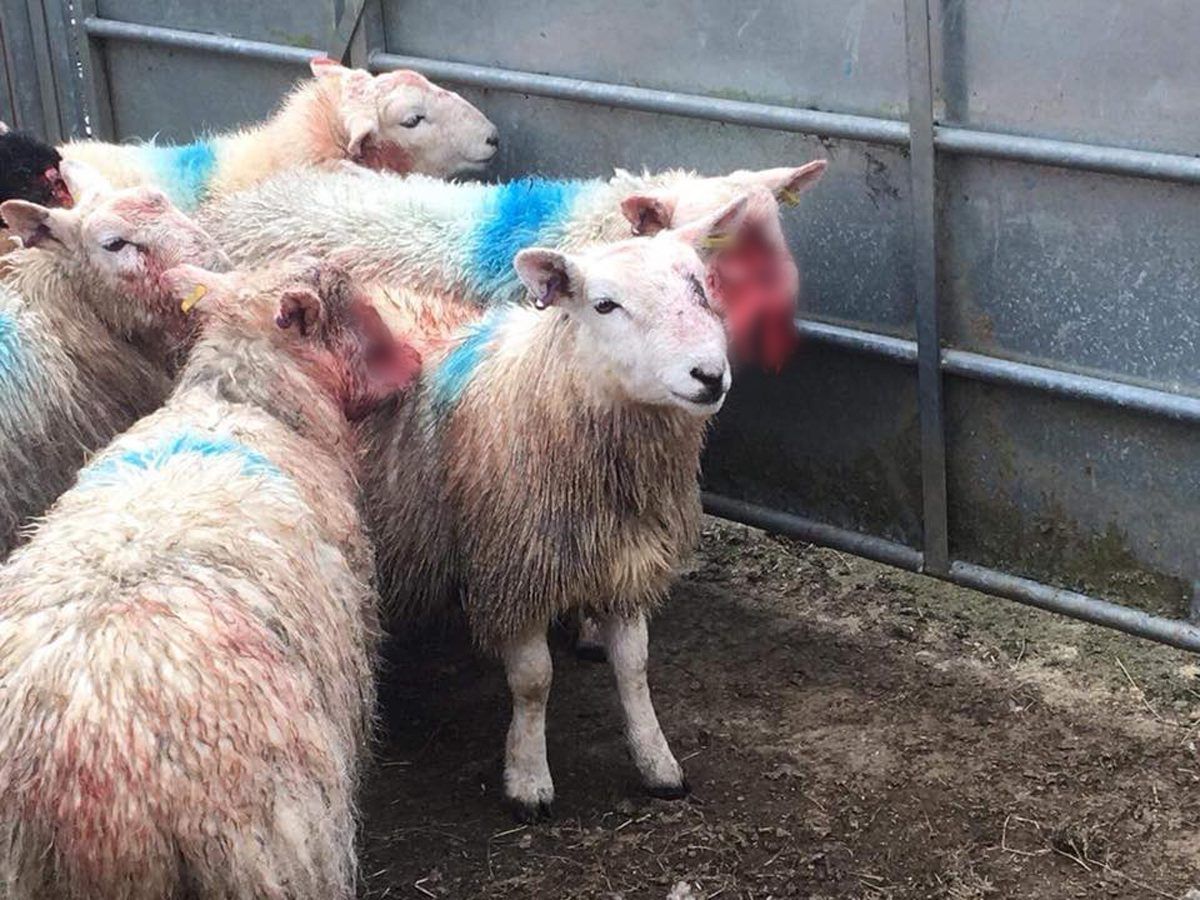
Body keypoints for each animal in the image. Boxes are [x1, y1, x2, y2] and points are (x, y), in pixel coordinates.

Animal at [360, 198, 747, 821]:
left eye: (700, 286)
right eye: (604, 304)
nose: (709, 376)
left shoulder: (625, 559)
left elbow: (634, 668)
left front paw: (657, 762)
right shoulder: (515, 565)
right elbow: (534, 681)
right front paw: (528, 778)